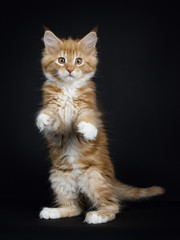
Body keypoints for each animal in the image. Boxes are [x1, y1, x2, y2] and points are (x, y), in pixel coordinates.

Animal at [36, 29, 165, 223]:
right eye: (62, 60)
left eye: (78, 61)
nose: (70, 70)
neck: (69, 89)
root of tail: (112, 181)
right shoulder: (56, 123)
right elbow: (52, 117)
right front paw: (43, 118)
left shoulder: (90, 107)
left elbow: (87, 117)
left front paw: (87, 130)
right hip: (60, 178)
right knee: (75, 207)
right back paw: (53, 212)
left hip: (95, 178)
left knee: (112, 205)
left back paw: (98, 216)